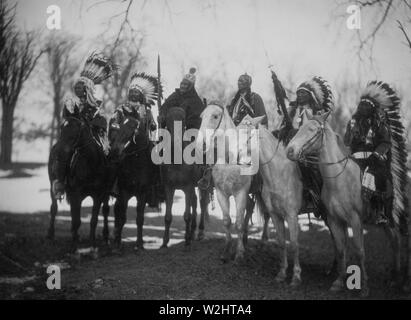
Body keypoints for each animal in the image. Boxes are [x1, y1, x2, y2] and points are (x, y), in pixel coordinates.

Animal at [48, 115, 111, 250]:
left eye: (72, 135)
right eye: (61, 130)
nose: (57, 153)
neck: (91, 163)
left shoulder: (98, 195)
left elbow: (93, 219)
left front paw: (92, 242)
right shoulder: (76, 194)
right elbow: (76, 220)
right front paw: (74, 244)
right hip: (53, 185)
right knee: (54, 208)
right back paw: (51, 235)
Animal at [109, 115, 161, 250]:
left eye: (132, 131)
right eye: (119, 127)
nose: (115, 151)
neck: (136, 164)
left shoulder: (142, 194)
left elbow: (140, 219)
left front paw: (139, 243)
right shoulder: (124, 193)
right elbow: (122, 217)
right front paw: (118, 243)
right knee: (117, 213)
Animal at [160, 107, 209, 248]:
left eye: (183, 120)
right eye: (168, 120)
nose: (176, 140)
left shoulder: (187, 187)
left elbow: (187, 215)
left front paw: (186, 240)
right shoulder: (169, 187)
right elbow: (168, 216)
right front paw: (165, 242)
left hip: (204, 183)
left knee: (202, 203)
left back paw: (199, 232)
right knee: (195, 201)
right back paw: (192, 231)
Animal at [286, 111, 402, 296]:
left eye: (312, 130)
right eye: (300, 128)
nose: (290, 150)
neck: (339, 179)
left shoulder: (355, 220)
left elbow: (360, 251)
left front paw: (365, 287)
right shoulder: (334, 220)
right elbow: (341, 250)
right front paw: (339, 282)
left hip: (391, 219)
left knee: (396, 241)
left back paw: (397, 279)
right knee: (393, 241)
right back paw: (393, 278)